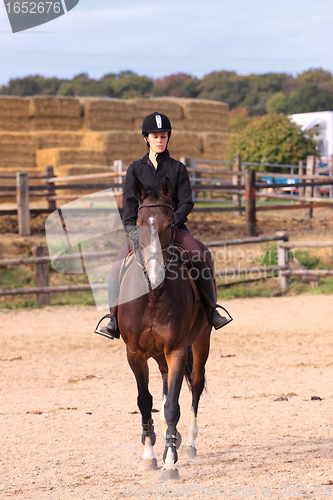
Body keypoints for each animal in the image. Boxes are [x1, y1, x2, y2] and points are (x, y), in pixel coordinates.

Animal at [116, 177, 213, 480]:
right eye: (138, 225)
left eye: (170, 225)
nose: (155, 274)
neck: (153, 297)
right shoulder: (134, 353)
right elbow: (145, 401)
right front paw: (148, 455)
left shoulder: (177, 350)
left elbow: (172, 406)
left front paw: (170, 462)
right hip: (158, 355)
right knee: (164, 380)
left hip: (202, 340)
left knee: (195, 384)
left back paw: (189, 443)